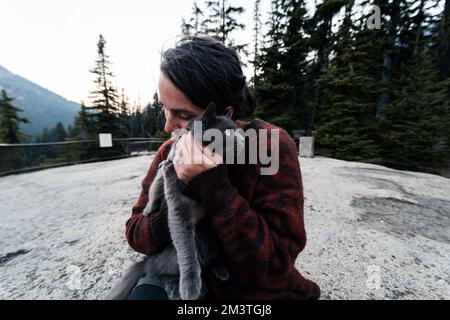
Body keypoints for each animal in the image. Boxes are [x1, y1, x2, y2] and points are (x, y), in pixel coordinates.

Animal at [104, 103, 243, 300]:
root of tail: (147, 259)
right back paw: (174, 286)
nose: (245, 141)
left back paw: (221, 271)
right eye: (230, 133)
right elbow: (186, 248)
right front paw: (190, 287)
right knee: (156, 271)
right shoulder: (175, 192)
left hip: (210, 238)